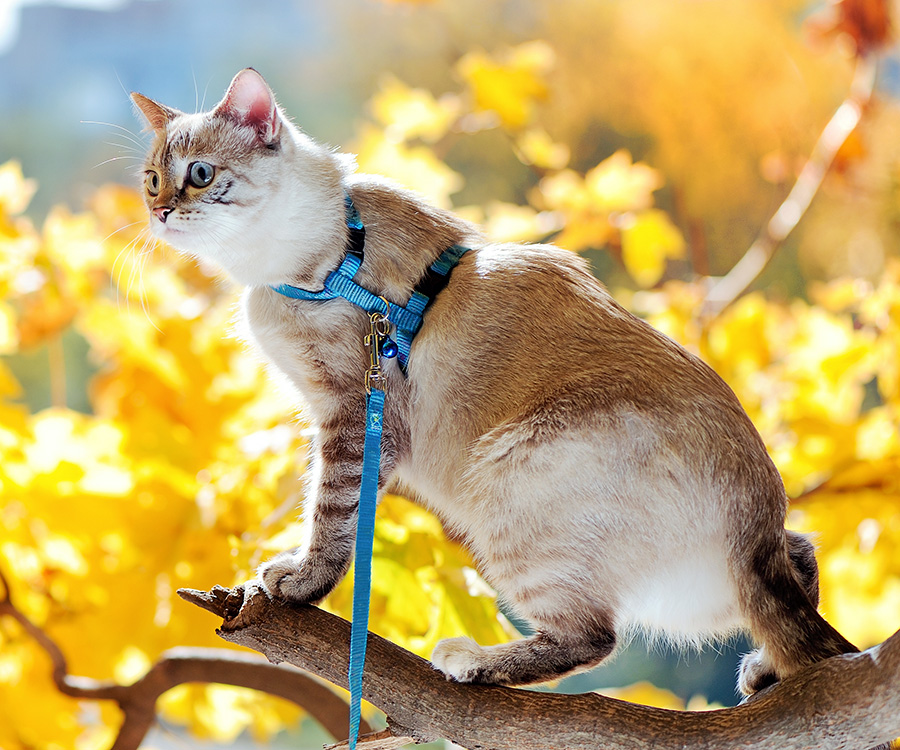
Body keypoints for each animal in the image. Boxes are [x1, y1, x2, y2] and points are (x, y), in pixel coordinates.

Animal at [132, 67, 856, 696]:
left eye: (200, 175)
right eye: (152, 180)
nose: (162, 211)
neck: (317, 255)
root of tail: (754, 518)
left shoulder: (351, 413)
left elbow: (330, 516)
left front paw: (299, 582)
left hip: (508, 482)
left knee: (595, 637)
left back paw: (473, 662)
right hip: (704, 585)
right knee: (798, 566)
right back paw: (767, 671)